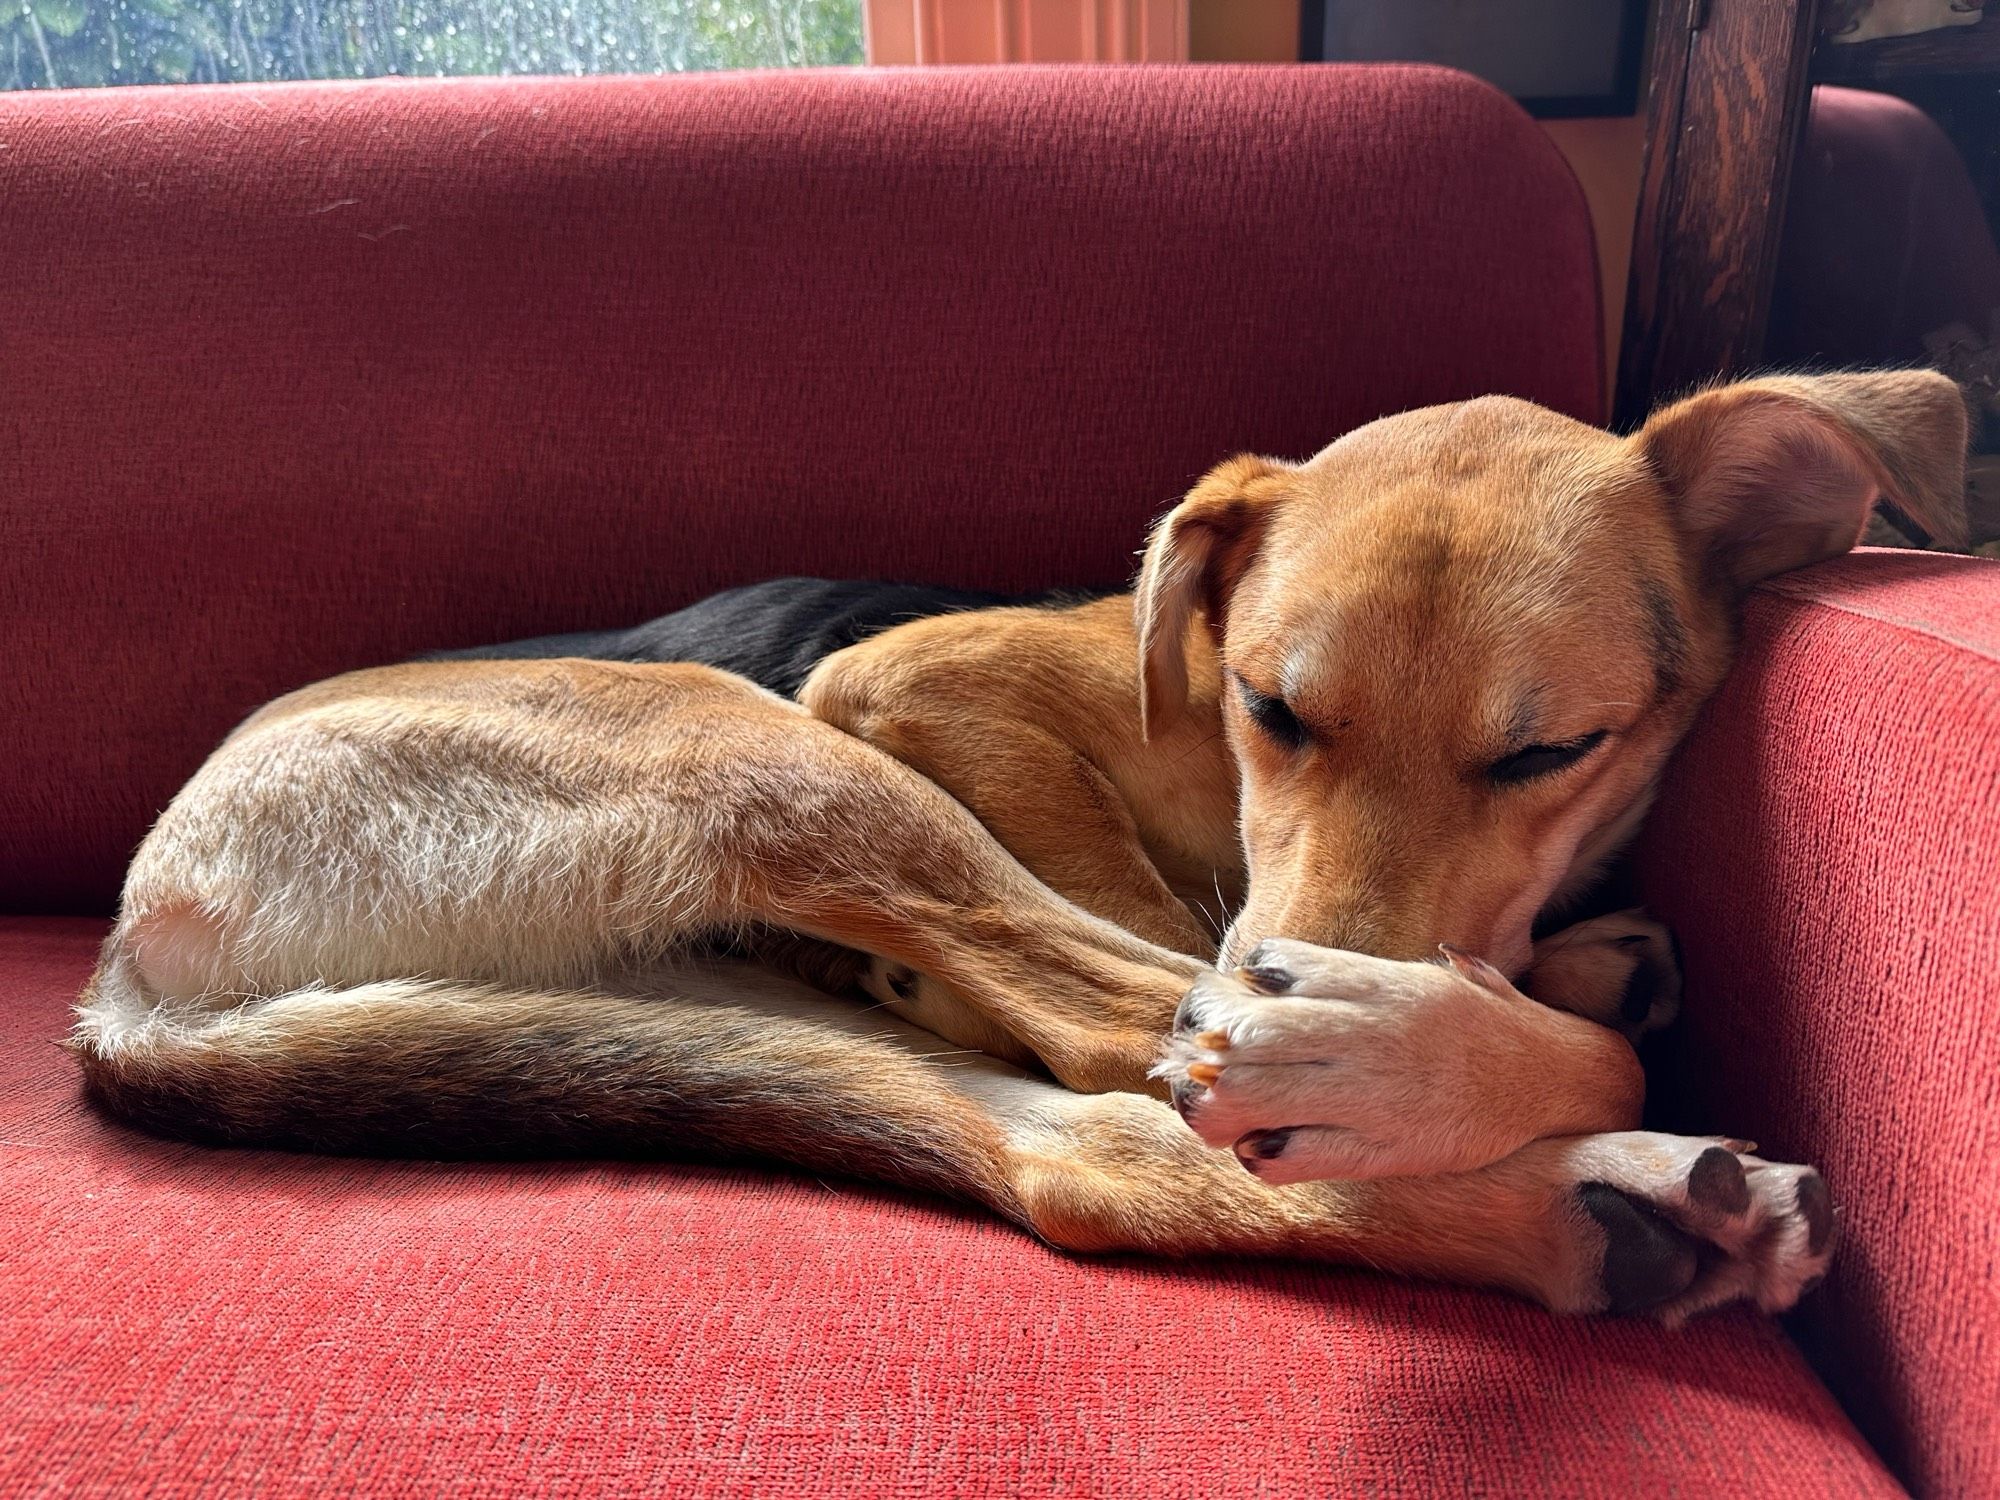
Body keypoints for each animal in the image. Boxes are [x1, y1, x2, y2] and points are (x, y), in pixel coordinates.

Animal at [66, 376, 1968, 1328]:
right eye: (1271, 706)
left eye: (1551, 752)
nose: (1316, 981)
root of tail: (137, 950)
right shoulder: (922, 682)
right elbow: (1178, 970)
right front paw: (1434, 1033)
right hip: (757, 745)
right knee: (1123, 1026)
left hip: (722, 990)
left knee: (1089, 1150)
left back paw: (1612, 1205)